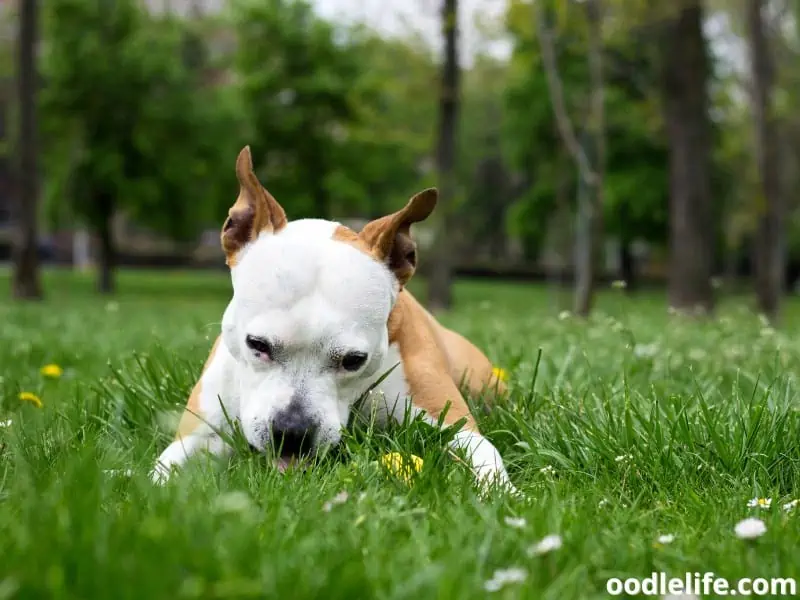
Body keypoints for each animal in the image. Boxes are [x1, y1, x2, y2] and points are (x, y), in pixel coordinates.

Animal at [153, 146, 516, 492]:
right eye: (256, 344)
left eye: (354, 360)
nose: (292, 432)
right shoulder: (197, 437)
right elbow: (159, 477)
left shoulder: (453, 424)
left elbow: (486, 457)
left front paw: (508, 495)